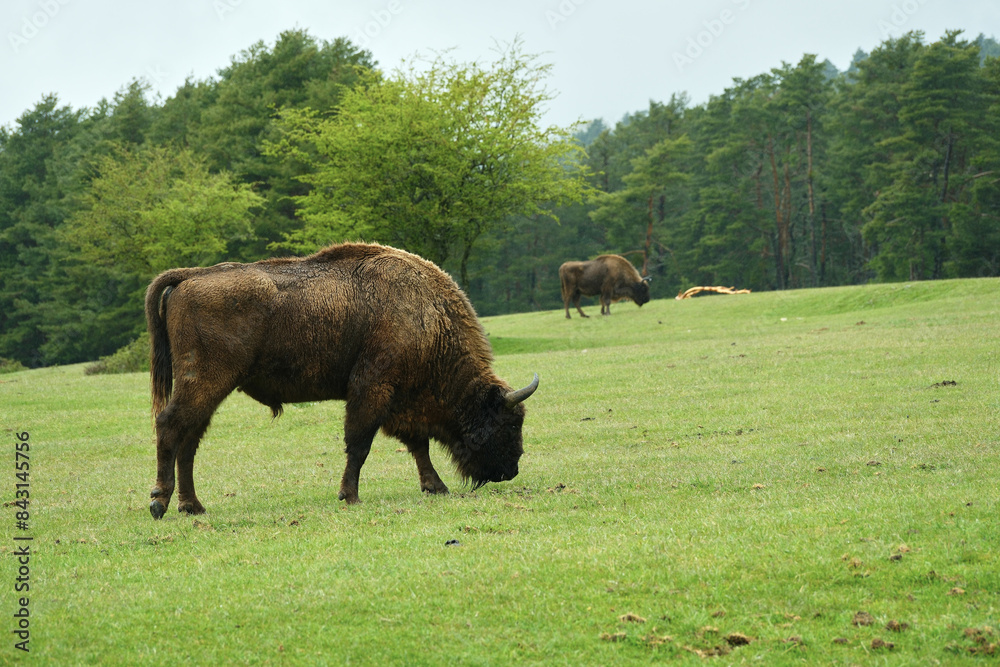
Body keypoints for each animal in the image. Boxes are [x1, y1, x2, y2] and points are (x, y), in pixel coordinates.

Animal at [143, 243, 540, 520]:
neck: (426, 317)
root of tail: (190, 277)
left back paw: (193, 506)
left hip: (206, 390)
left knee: (189, 440)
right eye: (509, 423)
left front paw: (435, 487)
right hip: (206, 382)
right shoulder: (372, 390)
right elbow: (360, 444)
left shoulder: (399, 402)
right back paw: (160, 503)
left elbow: (418, 446)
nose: (511, 471)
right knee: (170, 426)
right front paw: (350, 496)